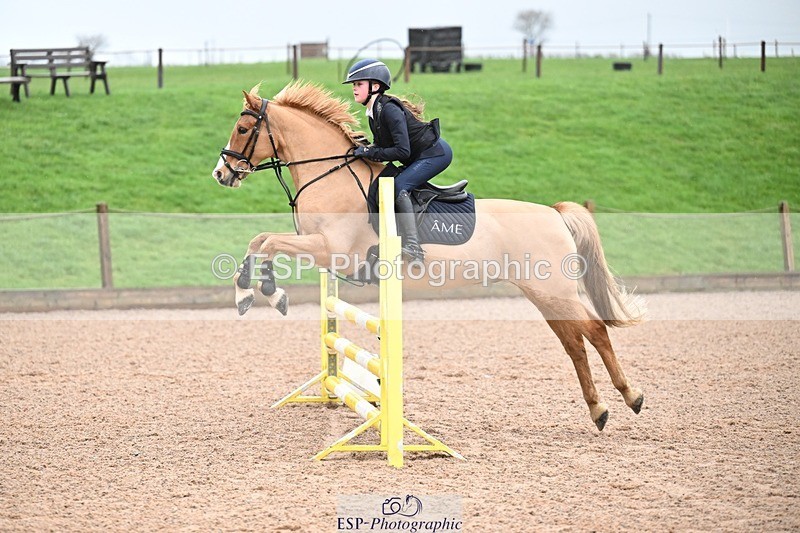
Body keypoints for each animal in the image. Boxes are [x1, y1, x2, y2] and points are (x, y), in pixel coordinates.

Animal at [211, 81, 646, 431]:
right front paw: (250, 293)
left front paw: (266, 293)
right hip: (544, 294)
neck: (330, 176)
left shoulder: (331, 251)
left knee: (595, 331)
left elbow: (268, 243)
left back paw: (629, 397)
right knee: (575, 342)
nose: (221, 173)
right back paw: (601, 409)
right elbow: (260, 240)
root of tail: (555, 213)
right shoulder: (319, 249)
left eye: (244, 128)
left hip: (554, 291)